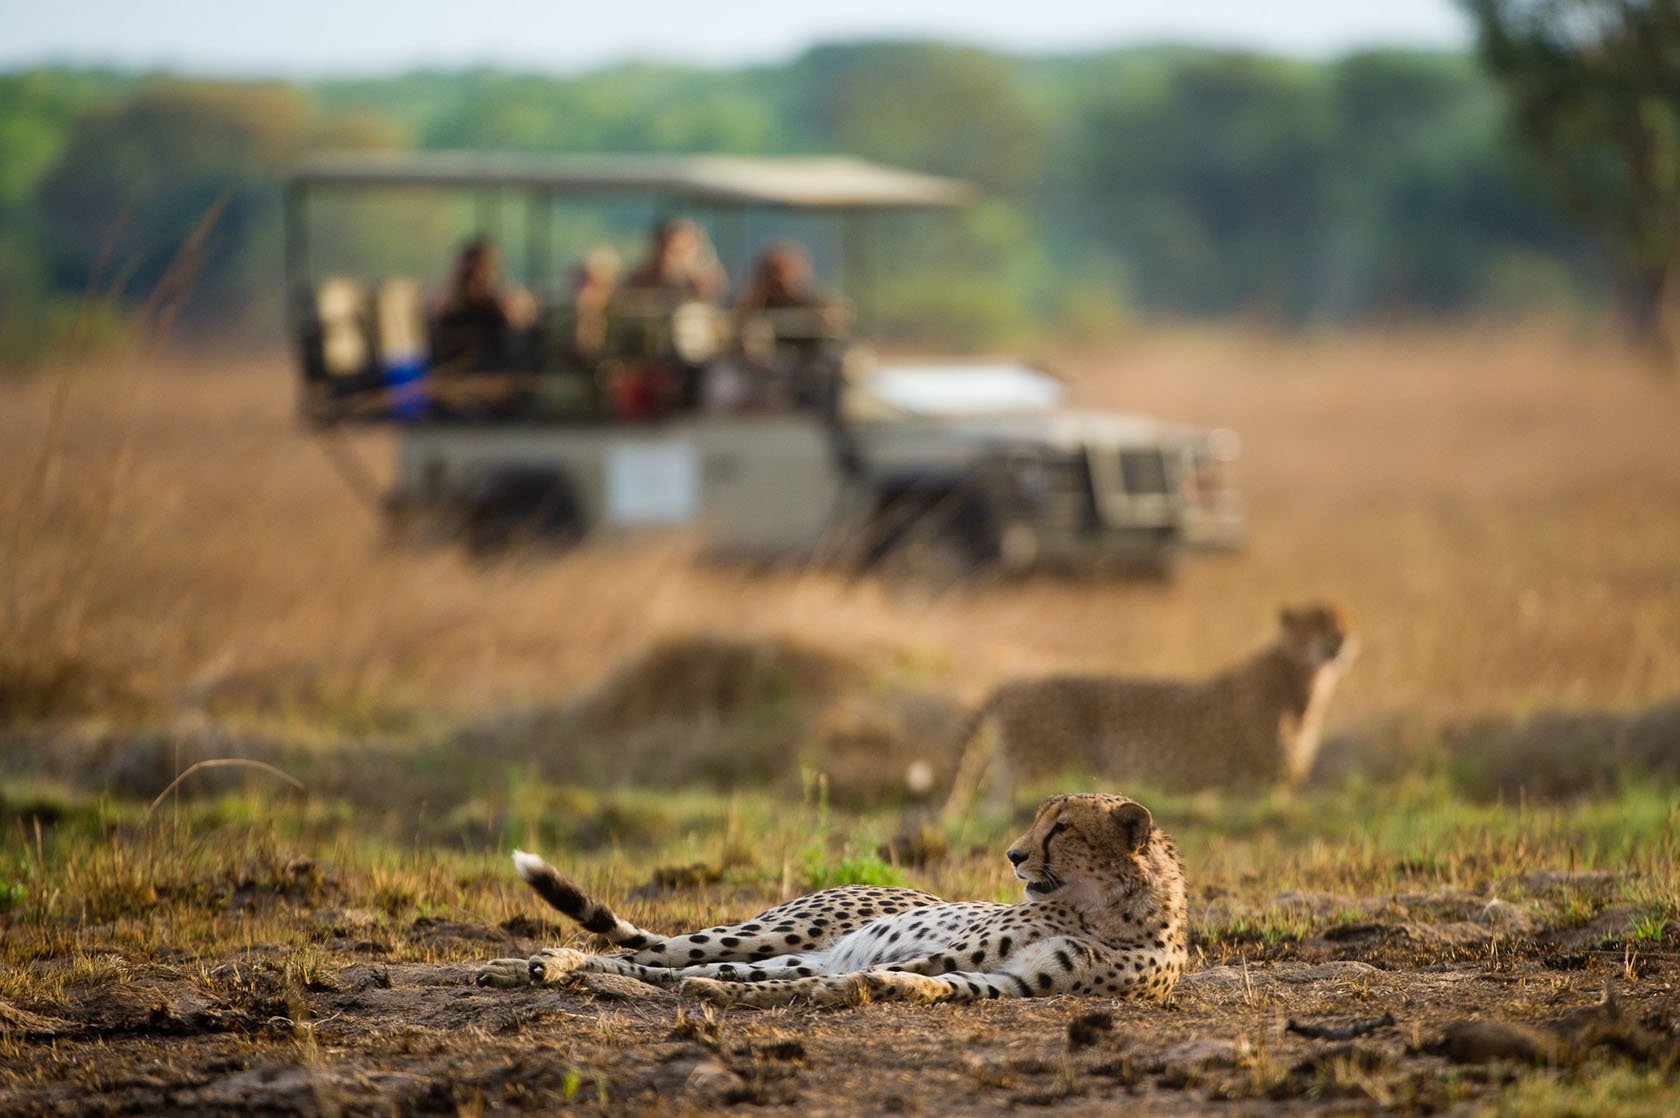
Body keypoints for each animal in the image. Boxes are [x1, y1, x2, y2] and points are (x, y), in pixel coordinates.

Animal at [475, 791, 1187, 1008]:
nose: (1013, 855)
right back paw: (535, 965)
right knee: (661, 953)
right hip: (773, 933)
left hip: (788, 950)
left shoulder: (1016, 981)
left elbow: (935, 985)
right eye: (1043, 821)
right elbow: (915, 971)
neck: (1108, 913)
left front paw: (871, 989)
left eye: (1062, 827)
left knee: (667, 968)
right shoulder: (957, 952)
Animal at [943, 602, 1357, 819]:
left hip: (1013, 770)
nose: (1342, 640)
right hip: (1037, 768)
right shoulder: (1259, 784)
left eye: (1345, 623)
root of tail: (1011, 683)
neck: (1305, 680)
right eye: (1318, 623)